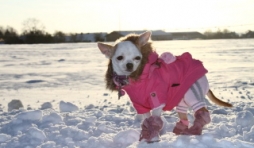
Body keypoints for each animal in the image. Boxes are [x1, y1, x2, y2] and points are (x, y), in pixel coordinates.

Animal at [97, 30, 232, 142]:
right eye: (119, 58)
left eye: (138, 58)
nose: (129, 64)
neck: (139, 78)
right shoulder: (141, 106)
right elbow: (146, 119)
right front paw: (147, 136)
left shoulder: (157, 101)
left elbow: (154, 119)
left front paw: (153, 136)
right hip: (181, 99)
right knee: (184, 115)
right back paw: (181, 130)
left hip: (192, 94)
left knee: (203, 112)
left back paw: (195, 130)